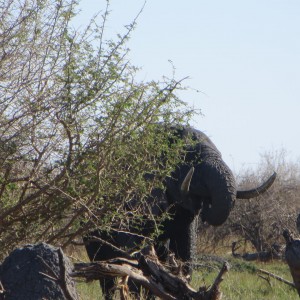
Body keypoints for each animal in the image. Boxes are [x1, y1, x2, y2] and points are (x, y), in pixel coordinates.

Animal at [83, 125, 276, 298]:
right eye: (189, 159)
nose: (205, 206)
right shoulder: (134, 199)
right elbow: (135, 256)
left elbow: (184, 252)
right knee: (102, 266)